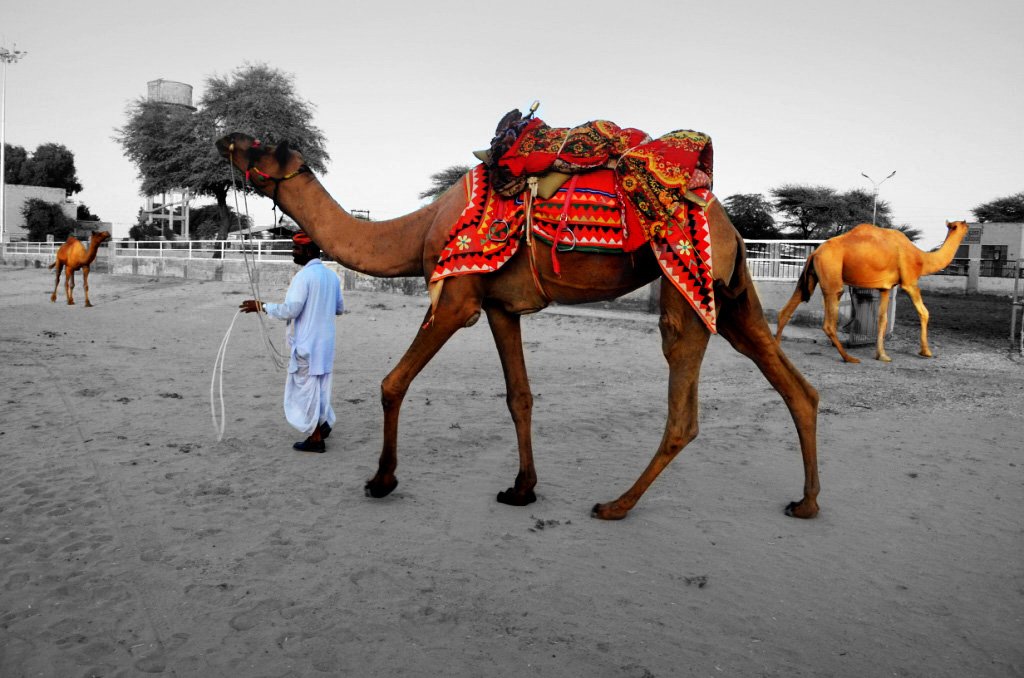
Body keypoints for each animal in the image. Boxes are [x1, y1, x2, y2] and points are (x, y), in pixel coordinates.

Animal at [216, 132, 821, 521]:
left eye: (264, 146)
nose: (229, 138)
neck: (418, 232)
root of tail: (730, 227)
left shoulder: (457, 298)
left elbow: (392, 383)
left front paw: (382, 480)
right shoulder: (499, 307)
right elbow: (519, 396)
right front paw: (522, 489)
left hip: (686, 285)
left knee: (684, 411)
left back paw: (616, 505)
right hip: (734, 294)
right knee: (796, 385)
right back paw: (807, 501)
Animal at [774, 221, 969, 363]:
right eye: (962, 224)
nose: (969, 226)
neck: (922, 258)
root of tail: (814, 253)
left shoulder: (886, 287)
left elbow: (882, 319)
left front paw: (882, 355)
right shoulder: (910, 282)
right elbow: (924, 312)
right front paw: (926, 351)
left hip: (811, 276)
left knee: (788, 307)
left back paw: (777, 350)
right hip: (831, 274)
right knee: (829, 321)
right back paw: (849, 357)